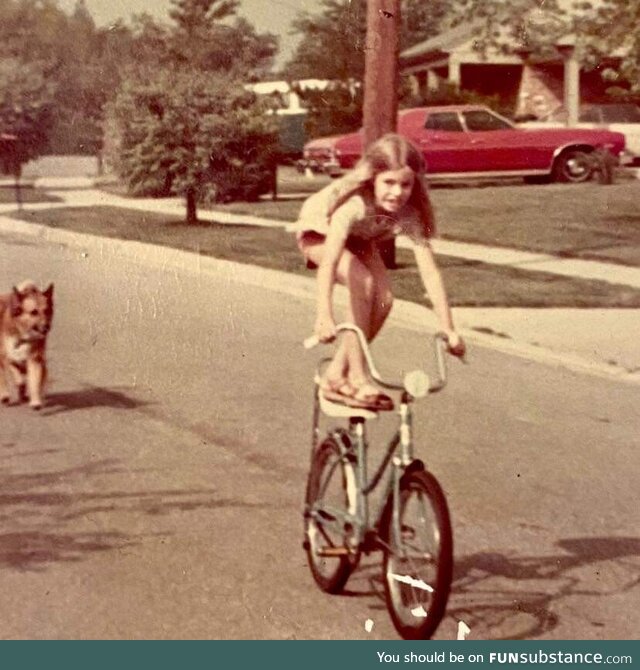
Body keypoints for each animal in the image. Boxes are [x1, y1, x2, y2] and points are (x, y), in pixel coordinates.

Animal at [0, 282, 53, 412]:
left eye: (47, 310)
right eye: (34, 312)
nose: (47, 327)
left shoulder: (35, 359)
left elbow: (34, 380)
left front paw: (35, 402)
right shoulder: (5, 357)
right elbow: (6, 378)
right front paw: (5, 395)